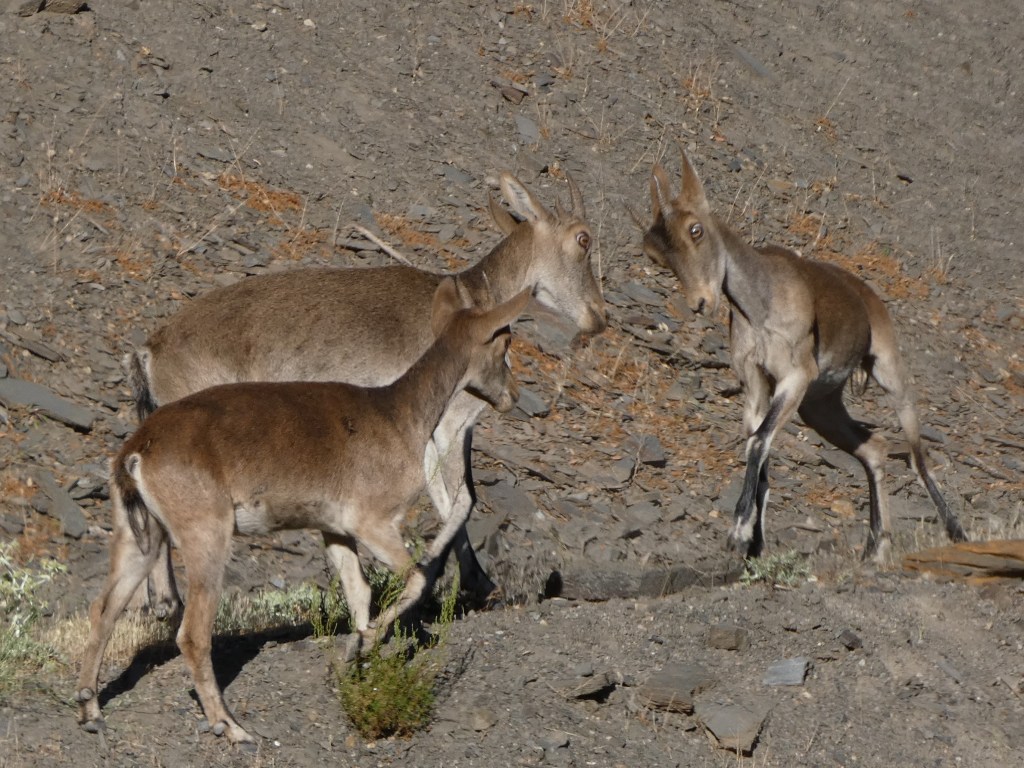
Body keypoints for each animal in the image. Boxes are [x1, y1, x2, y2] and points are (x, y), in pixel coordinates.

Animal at [77, 279, 531, 745]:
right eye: (504, 342)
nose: (513, 395)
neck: (400, 414)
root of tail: (136, 453)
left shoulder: (335, 530)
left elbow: (359, 592)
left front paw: (358, 655)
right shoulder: (374, 522)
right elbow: (417, 578)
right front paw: (363, 646)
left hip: (139, 536)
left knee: (104, 609)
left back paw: (91, 710)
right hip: (206, 534)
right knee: (192, 633)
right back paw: (231, 726)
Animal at [127, 172, 606, 617]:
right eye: (583, 238)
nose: (598, 317)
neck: (475, 301)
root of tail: (149, 352)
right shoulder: (448, 426)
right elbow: (460, 502)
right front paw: (456, 581)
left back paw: (161, 602)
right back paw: (168, 603)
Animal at [640, 150, 966, 563]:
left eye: (695, 230)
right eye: (656, 254)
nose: (700, 301)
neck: (761, 305)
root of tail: (866, 296)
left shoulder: (795, 377)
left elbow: (758, 443)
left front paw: (737, 534)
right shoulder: (757, 386)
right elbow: (760, 447)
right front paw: (754, 545)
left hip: (888, 373)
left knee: (916, 455)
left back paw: (955, 532)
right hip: (821, 407)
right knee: (874, 449)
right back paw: (874, 549)